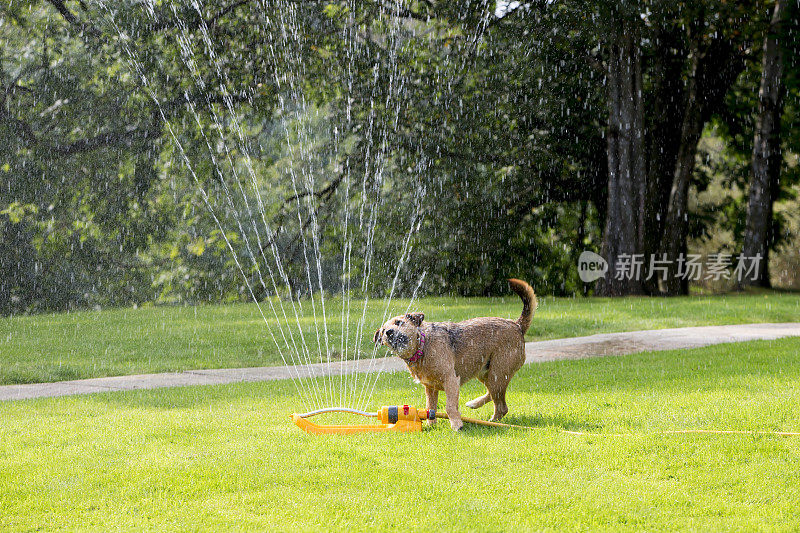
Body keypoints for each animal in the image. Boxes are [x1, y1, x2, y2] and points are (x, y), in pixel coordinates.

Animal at [376, 278, 536, 428]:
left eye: (399, 322)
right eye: (383, 331)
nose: (389, 332)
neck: (422, 347)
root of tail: (517, 325)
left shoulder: (451, 380)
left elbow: (449, 406)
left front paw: (456, 424)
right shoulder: (430, 388)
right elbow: (430, 407)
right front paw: (431, 425)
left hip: (497, 374)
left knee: (501, 406)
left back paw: (491, 421)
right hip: (485, 373)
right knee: (494, 396)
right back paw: (475, 404)